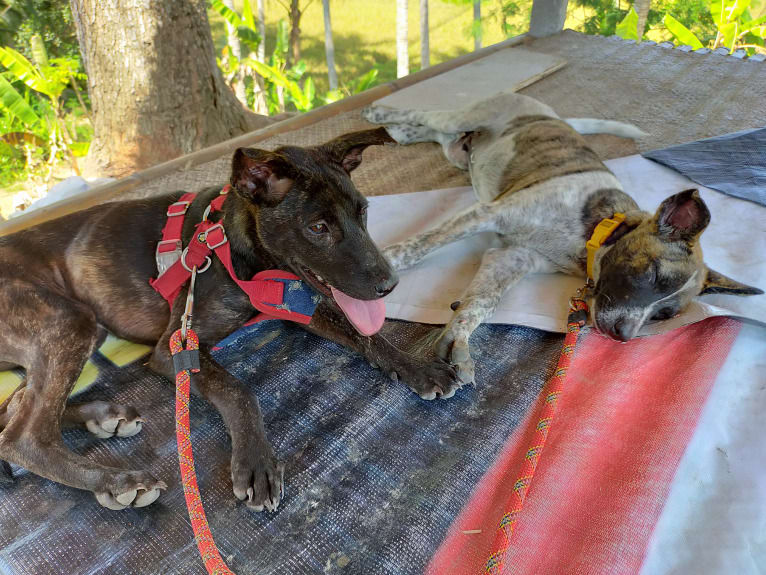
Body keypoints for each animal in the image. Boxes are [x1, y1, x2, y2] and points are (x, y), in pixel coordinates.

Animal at [0, 129, 460, 512]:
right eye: (317, 227)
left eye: (364, 212)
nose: (390, 285)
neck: (241, 249)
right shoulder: (176, 347)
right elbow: (238, 390)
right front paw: (255, 461)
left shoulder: (301, 306)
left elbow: (369, 337)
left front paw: (417, 367)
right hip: (69, 320)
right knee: (22, 436)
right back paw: (114, 480)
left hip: (77, 331)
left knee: (17, 407)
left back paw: (101, 414)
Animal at [364, 91, 764, 388]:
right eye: (652, 275)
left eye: (664, 315)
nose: (622, 337)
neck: (592, 232)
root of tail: (551, 114)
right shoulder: (489, 213)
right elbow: (421, 245)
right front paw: (386, 262)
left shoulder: (511, 258)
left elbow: (482, 303)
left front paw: (458, 342)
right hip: (468, 115)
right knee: (428, 114)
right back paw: (382, 112)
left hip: (458, 152)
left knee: (431, 135)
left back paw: (399, 132)